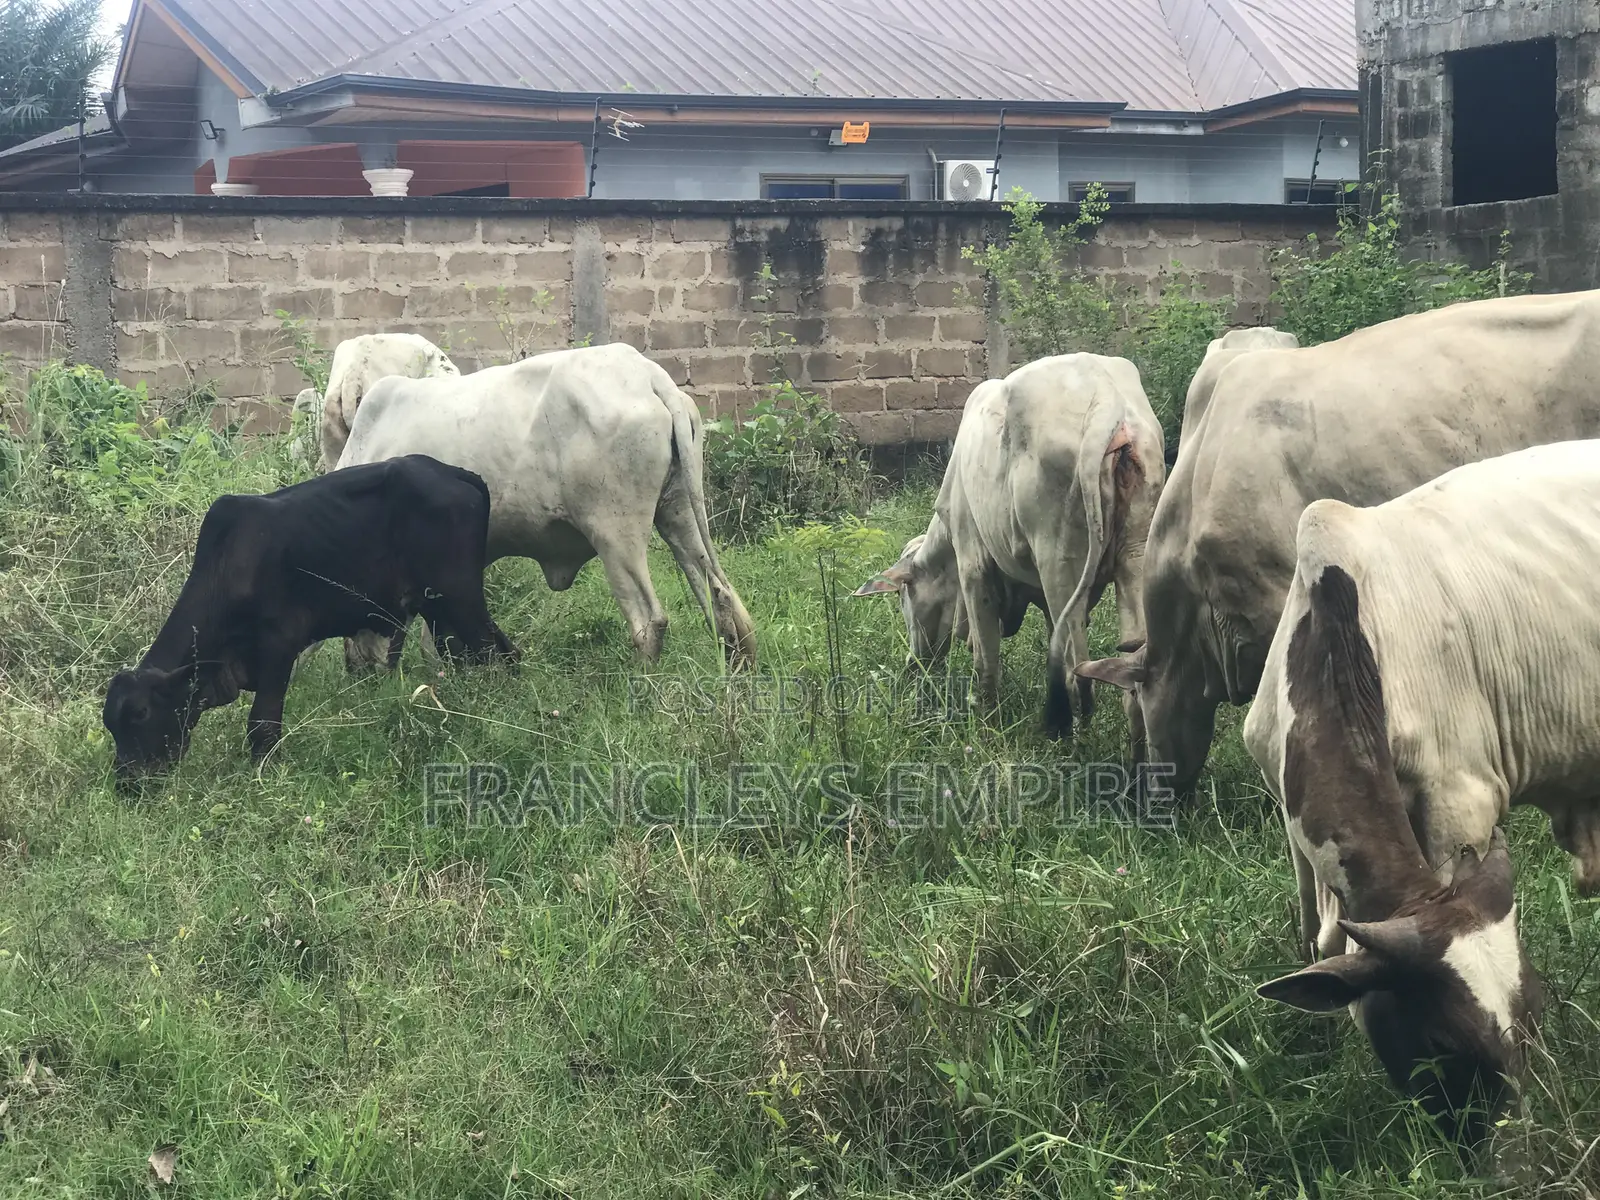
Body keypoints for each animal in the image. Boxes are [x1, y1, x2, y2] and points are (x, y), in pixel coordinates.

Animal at [102, 455, 516, 782]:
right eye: (110, 724)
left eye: (141, 713)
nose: (126, 784)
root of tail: (456, 473)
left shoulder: (279, 643)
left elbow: (262, 724)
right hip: (437, 607)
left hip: (460, 596)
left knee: (497, 652)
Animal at [336, 342, 756, 672]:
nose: (357, 668)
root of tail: (648, 376)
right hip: (678, 510)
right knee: (722, 598)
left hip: (615, 532)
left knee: (650, 620)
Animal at [853, 353, 1164, 738]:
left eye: (904, 598)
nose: (914, 665)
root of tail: (1108, 401)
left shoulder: (973, 562)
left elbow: (986, 657)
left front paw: (984, 716)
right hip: (1135, 555)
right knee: (1131, 669)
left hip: (1059, 560)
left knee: (1077, 671)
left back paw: (1065, 732)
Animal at [1241, 440, 1600, 1138]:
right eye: (1440, 1045)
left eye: (1535, 1021)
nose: (1523, 1150)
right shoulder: (1291, 823)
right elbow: (1314, 941)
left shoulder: (1462, 808)